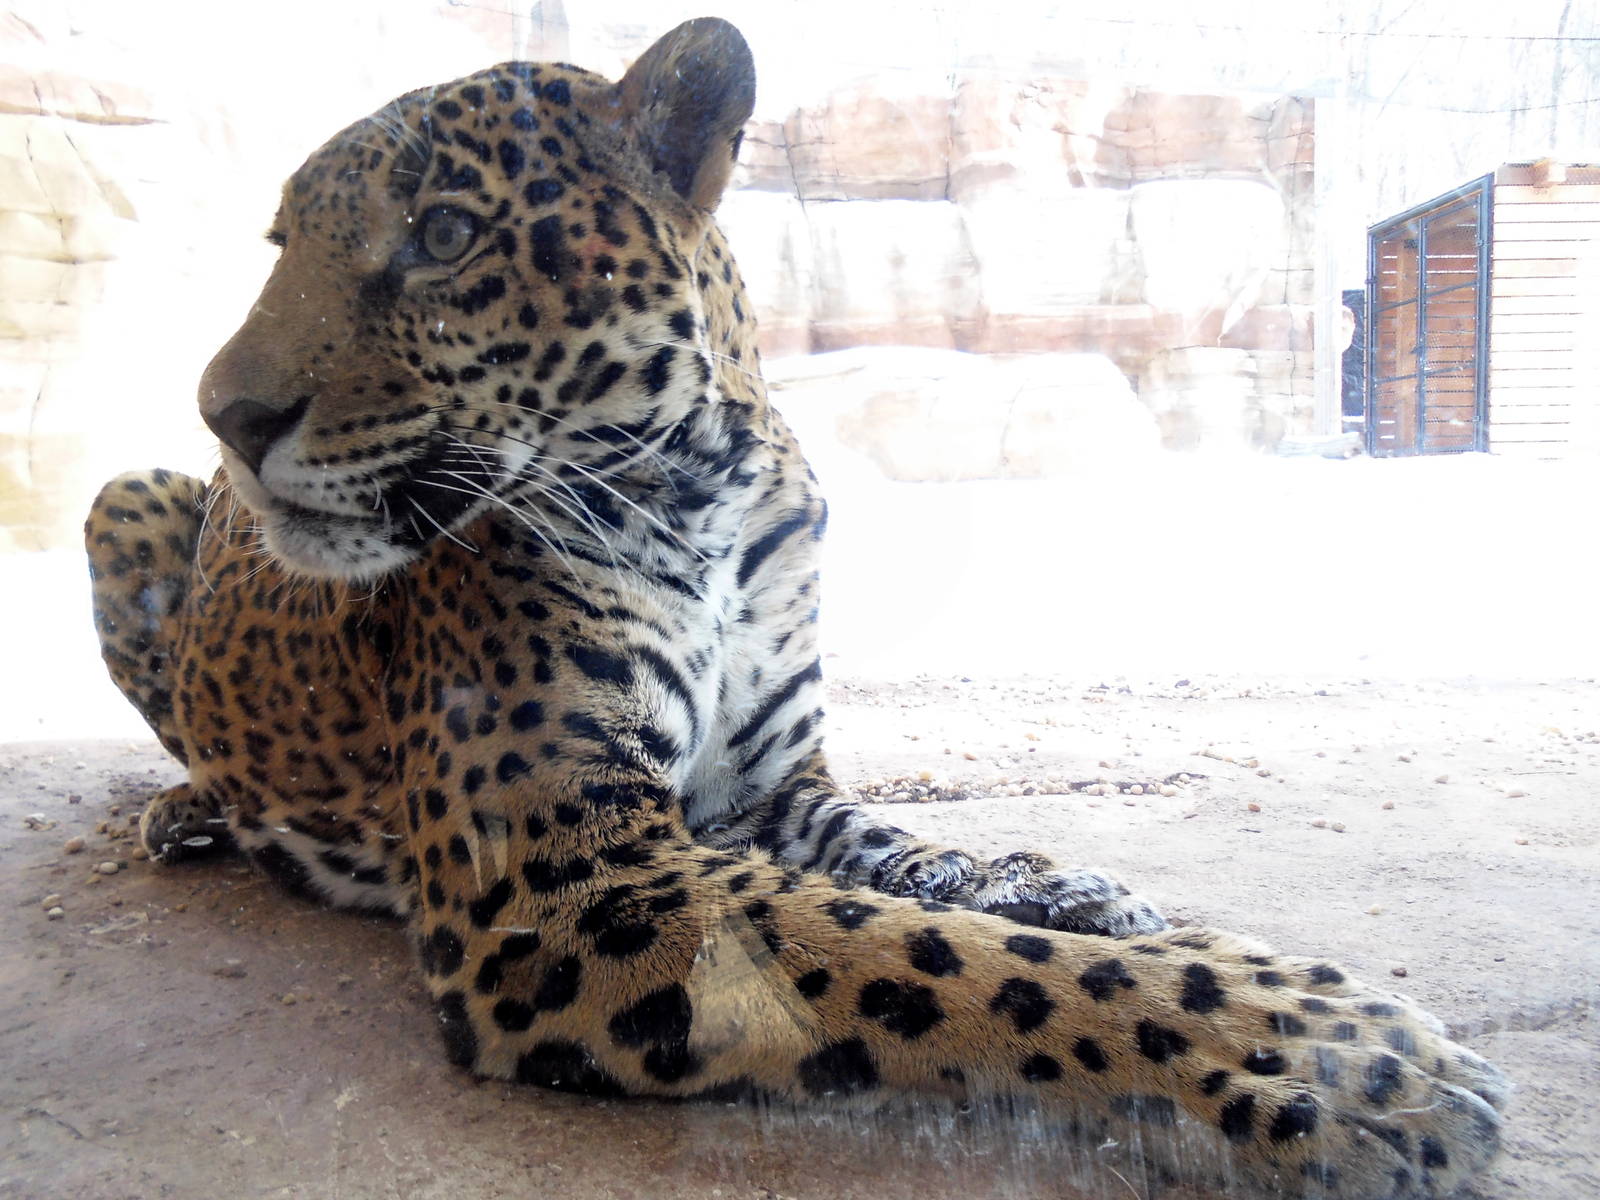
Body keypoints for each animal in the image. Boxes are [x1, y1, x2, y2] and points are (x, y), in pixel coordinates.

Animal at [83, 18, 1506, 1198]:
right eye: (285, 249)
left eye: (442, 235)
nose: (227, 416)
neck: (698, 496)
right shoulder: (561, 877)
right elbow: (929, 954)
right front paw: (1332, 1052)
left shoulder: (767, 790)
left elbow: (910, 867)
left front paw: (1050, 884)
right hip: (122, 493)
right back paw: (186, 812)